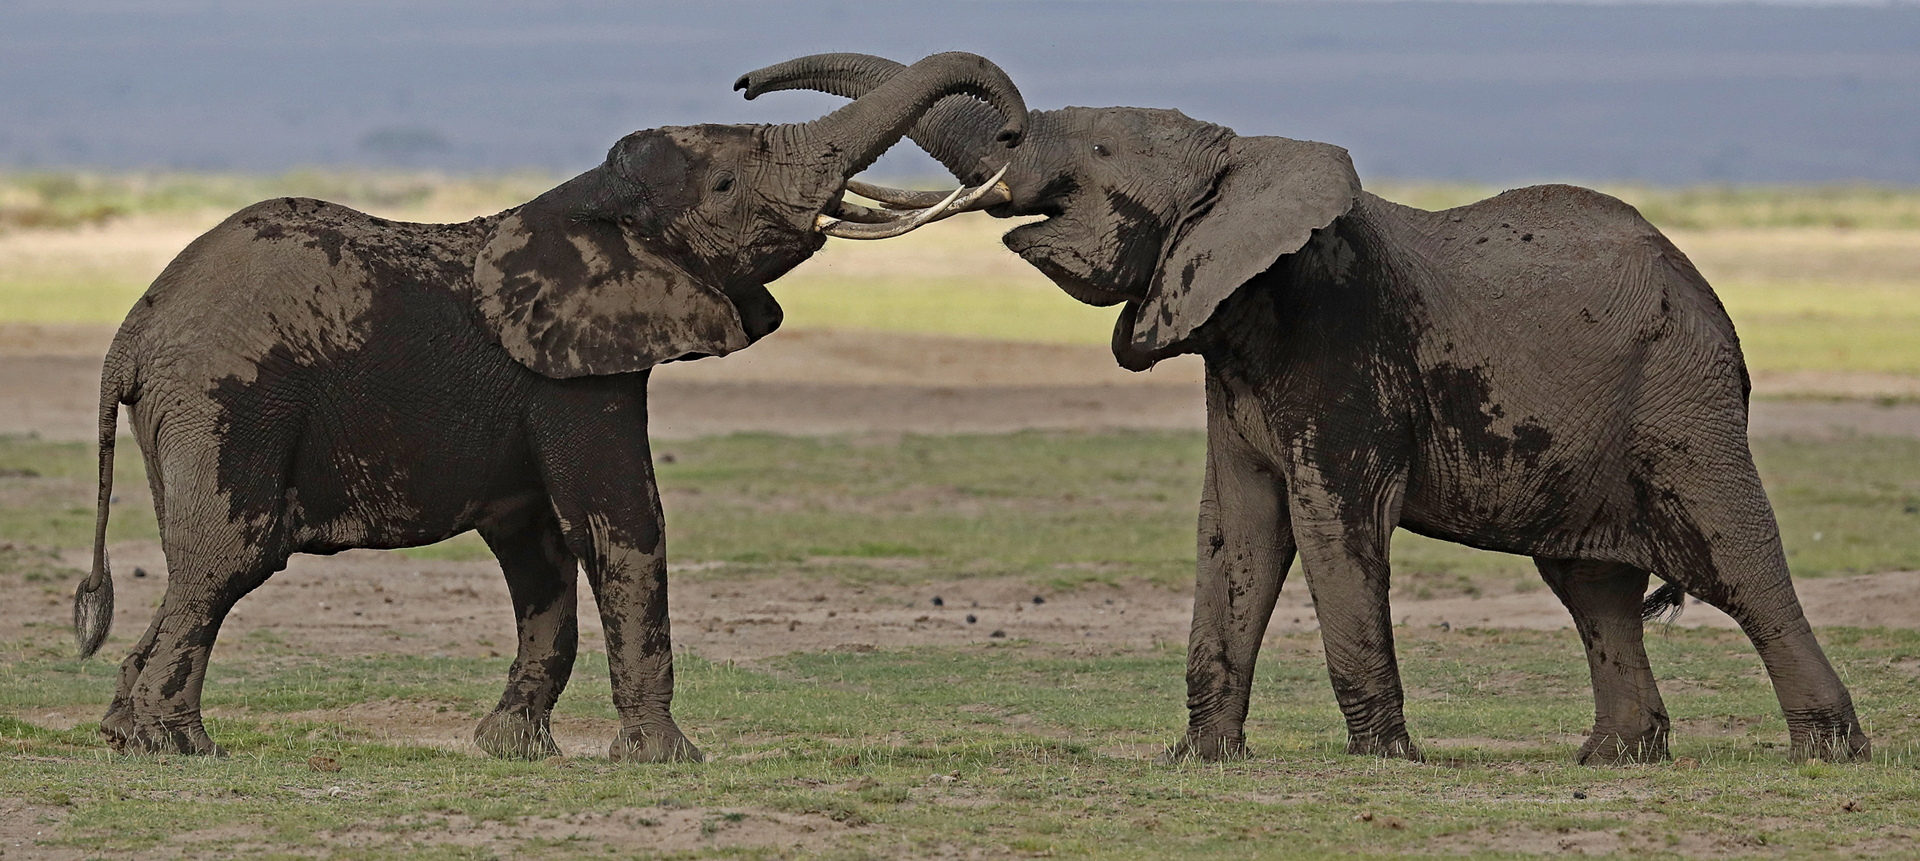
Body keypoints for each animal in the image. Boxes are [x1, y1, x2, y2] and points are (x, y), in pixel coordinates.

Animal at [71, 52, 1036, 761]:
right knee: (227, 554)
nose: (1014, 135)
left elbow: (539, 550)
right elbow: (620, 524)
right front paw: (666, 760)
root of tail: (133, 330)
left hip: (184, 409)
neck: (585, 199)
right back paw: (177, 746)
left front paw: (511, 750)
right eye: (726, 187)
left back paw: (125, 734)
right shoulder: (572, 379)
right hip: (229, 397)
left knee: (197, 555)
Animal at [737, 53, 1873, 764]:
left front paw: (1389, 761)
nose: (742, 83)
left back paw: (1828, 756)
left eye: (1094, 156)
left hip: (1681, 400)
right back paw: (1609, 761)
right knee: (1590, 588)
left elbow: (1333, 527)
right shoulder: (1231, 355)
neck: (1247, 157)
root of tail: (1709, 298)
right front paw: (1199, 760)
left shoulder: (1340, 347)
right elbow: (1233, 533)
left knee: (1739, 560)